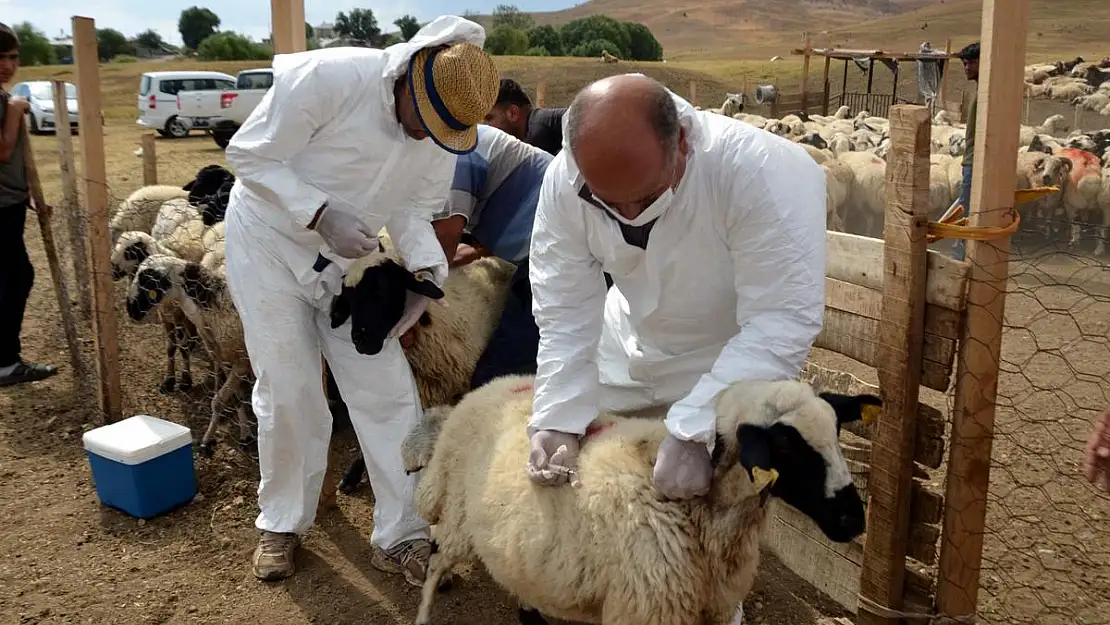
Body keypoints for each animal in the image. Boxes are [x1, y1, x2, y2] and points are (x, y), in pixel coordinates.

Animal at [401, 377, 874, 625]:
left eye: (837, 432)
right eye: (786, 446)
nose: (854, 519)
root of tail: (485, 389)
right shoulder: (647, 608)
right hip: (458, 518)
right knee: (436, 562)